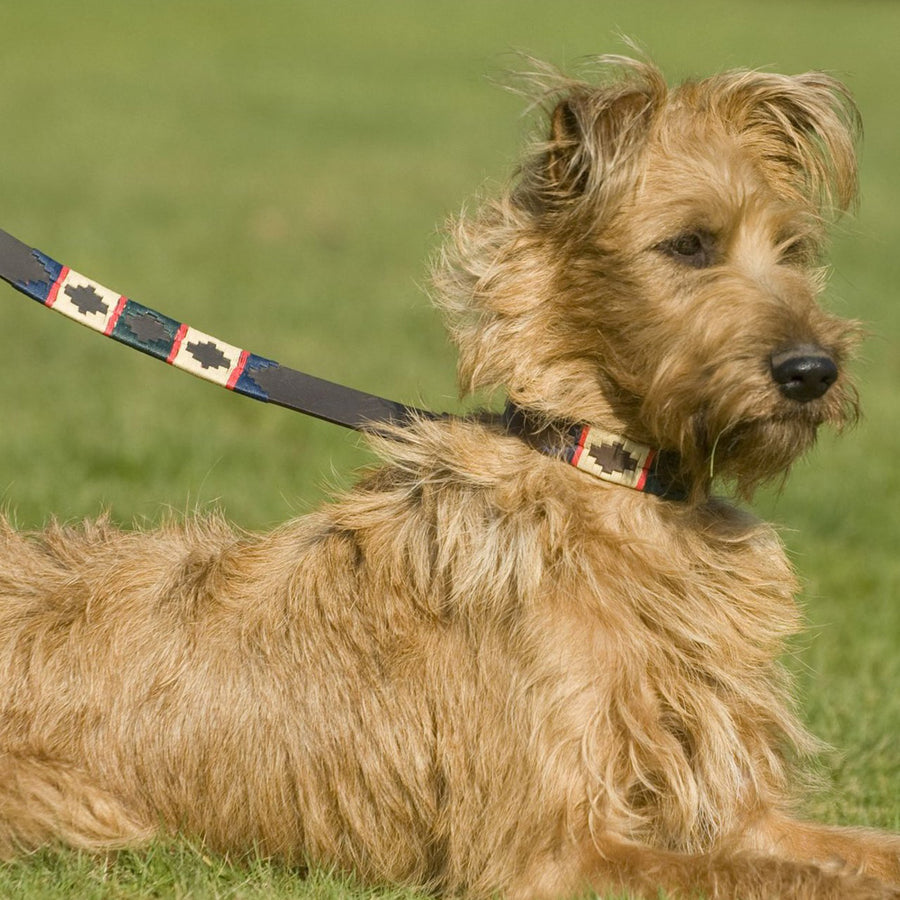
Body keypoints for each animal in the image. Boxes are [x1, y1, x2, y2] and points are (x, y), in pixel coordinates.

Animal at [1, 58, 900, 900]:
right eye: (689, 244)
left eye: (793, 251)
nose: (812, 371)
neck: (619, 482)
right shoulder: (550, 853)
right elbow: (773, 876)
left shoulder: (732, 804)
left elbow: (849, 851)